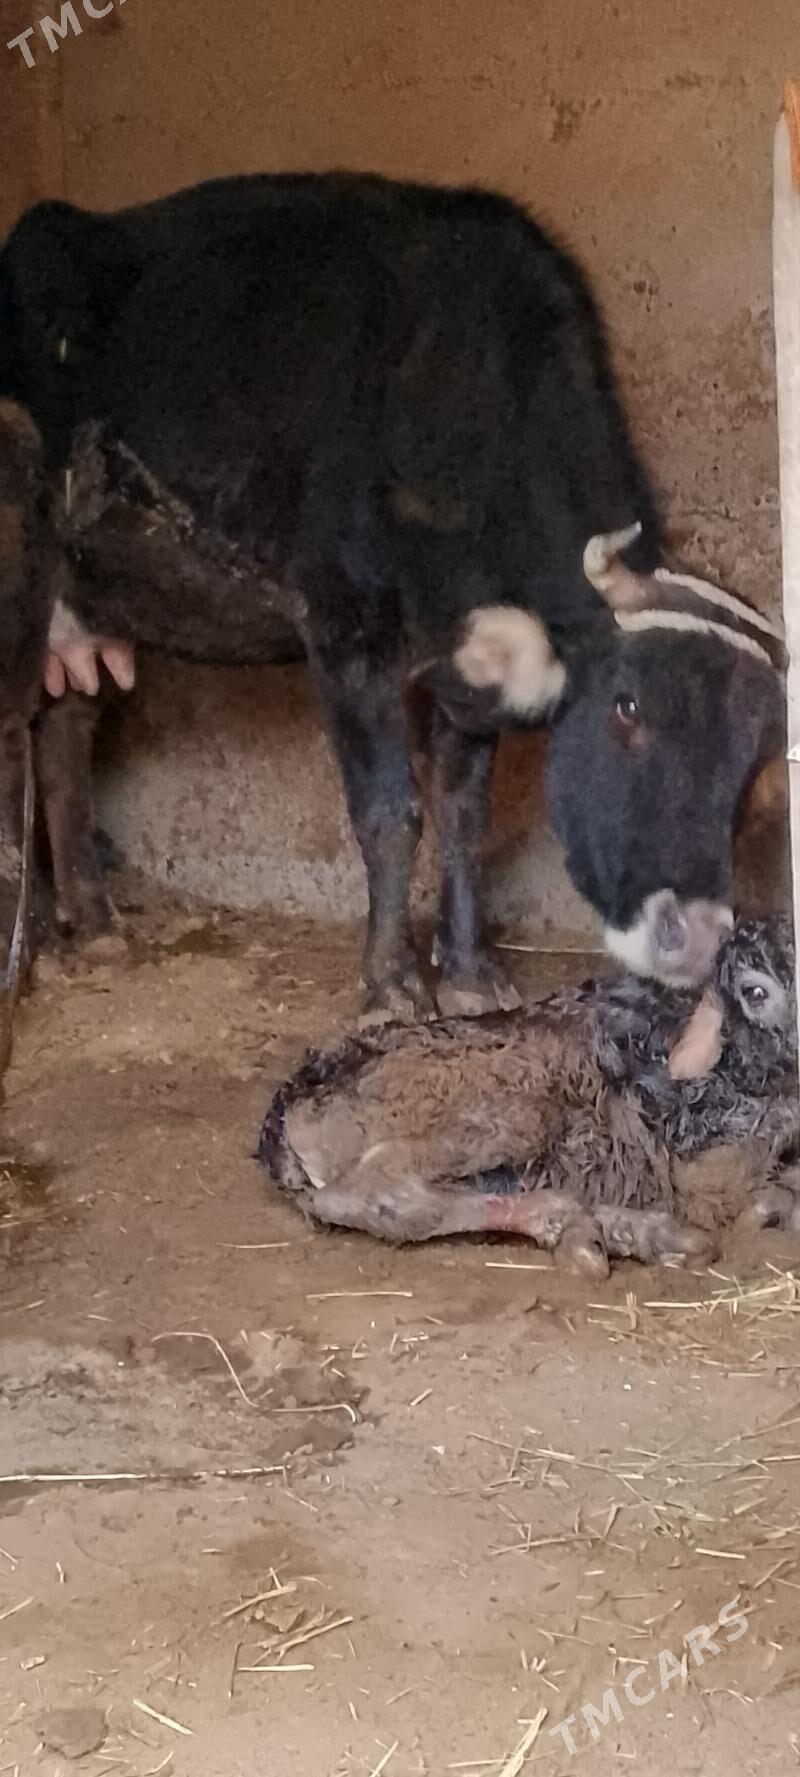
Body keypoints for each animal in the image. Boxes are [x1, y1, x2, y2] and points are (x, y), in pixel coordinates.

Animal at [0, 172, 786, 1020]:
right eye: (628, 706)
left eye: (754, 755)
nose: (698, 940)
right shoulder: (346, 631)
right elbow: (390, 813)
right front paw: (392, 983)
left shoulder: (468, 675)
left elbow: (463, 815)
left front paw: (472, 972)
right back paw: (38, 942)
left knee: (65, 731)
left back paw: (94, 923)